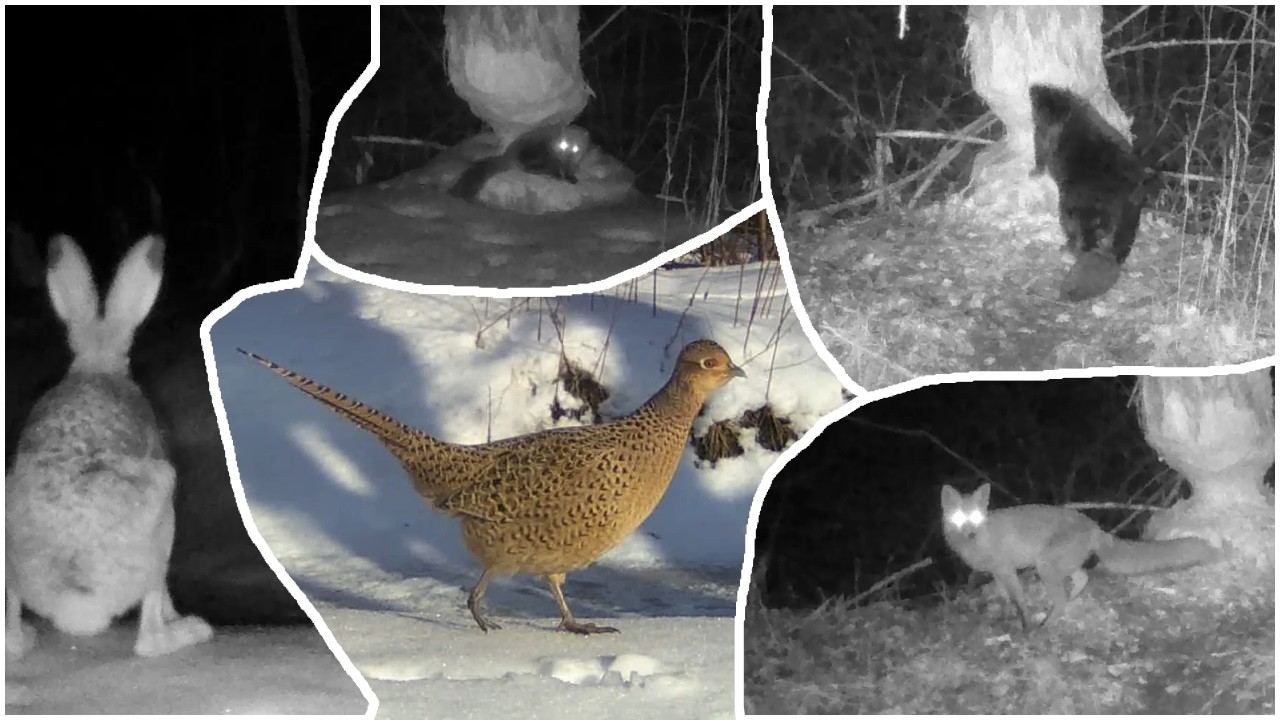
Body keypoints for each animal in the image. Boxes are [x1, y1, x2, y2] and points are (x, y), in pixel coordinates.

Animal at [6, 234, 213, 659]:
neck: (98, 361)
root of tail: (78, 603)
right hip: (161, 524)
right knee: (149, 636)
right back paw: (191, 630)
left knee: (10, 633)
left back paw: (24, 637)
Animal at [940, 483, 1219, 630]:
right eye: (960, 518)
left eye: (976, 517)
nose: (970, 532)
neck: (979, 541)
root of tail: (1093, 525)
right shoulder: (997, 572)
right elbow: (1007, 597)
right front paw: (1010, 614)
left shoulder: (1006, 569)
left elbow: (1019, 599)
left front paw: (1025, 625)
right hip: (1057, 565)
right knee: (1082, 577)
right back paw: (1069, 601)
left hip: (1046, 566)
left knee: (1064, 597)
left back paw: (1047, 624)